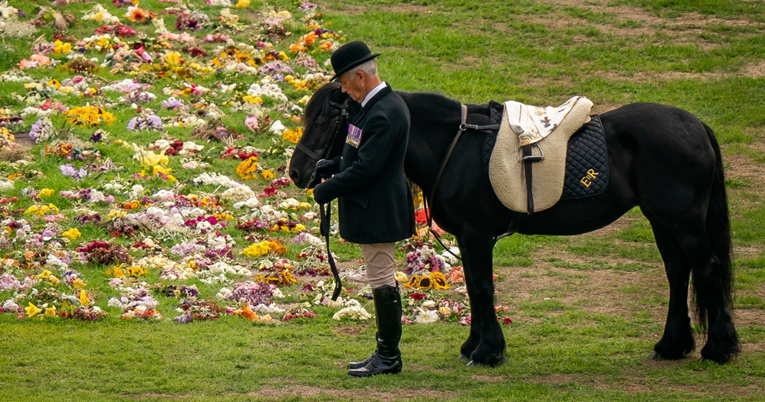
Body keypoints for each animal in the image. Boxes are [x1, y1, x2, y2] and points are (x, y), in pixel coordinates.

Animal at [290, 83, 736, 366]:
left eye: (325, 120)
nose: (298, 173)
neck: (456, 145)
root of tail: (696, 126)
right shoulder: (468, 237)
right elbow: (474, 287)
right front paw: (474, 346)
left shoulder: (476, 234)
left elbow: (483, 288)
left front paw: (488, 352)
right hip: (662, 219)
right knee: (678, 272)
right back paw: (672, 345)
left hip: (682, 221)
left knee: (707, 267)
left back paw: (719, 348)